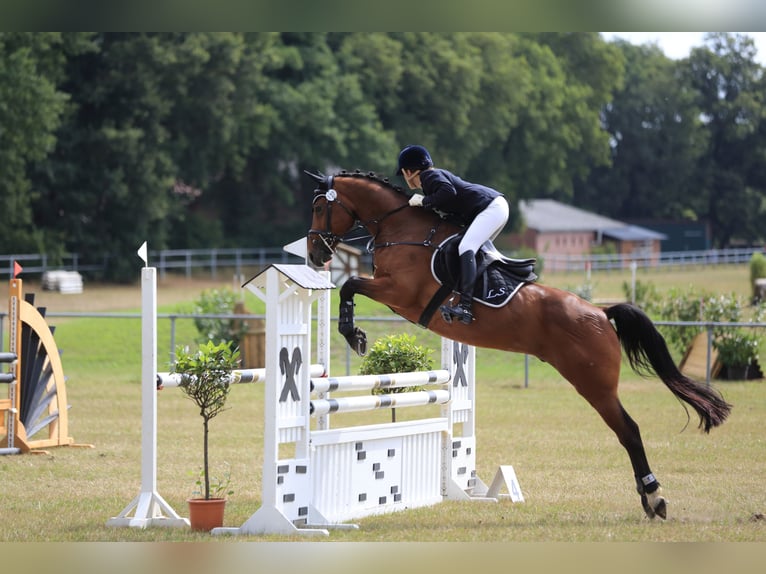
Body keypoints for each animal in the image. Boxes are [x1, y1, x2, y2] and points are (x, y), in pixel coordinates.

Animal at [304, 168, 732, 520]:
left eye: (318, 208)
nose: (315, 252)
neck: (403, 229)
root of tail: (599, 312)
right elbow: (351, 285)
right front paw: (355, 333)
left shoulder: (399, 292)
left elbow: (350, 284)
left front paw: (354, 335)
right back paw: (649, 499)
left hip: (594, 385)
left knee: (629, 430)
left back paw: (654, 498)